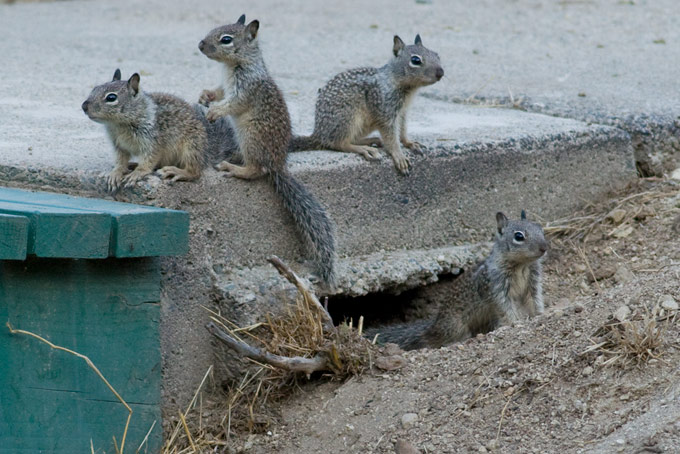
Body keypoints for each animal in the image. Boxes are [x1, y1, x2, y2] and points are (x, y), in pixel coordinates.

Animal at [82, 69, 238, 192]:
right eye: (94, 89)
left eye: (111, 97)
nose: (84, 106)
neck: (119, 125)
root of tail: (208, 150)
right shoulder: (119, 145)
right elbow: (120, 160)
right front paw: (116, 172)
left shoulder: (153, 140)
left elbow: (149, 160)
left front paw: (138, 173)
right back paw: (132, 165)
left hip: (192, 146)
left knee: (195, 171)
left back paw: (177, 171)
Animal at [199, 15, 338, 286]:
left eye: (226, 39)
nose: (200, 45)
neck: (234, 66)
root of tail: (278, 164)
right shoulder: (225, 85)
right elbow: (218, 91)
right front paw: (205, 95)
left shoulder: (246, 89)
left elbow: (233, 103)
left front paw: (215, 111)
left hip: (250, 137)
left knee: (257, 170)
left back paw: (234, 168)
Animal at [288, 33, 444, 175]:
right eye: (415, 60)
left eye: (437, 55)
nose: (441, 73)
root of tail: (319, 134)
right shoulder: (385, 110)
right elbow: (391, 136)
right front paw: (399, 155)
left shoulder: (403, 112)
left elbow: (403, 130)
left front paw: (409, 143)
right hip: (348, 117)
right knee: (338, 143)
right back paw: (364, 149)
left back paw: (371, 140)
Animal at [366, 211, 548, 350]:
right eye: (519, 236)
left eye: (541, 229)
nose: (544, 247)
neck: (522, 265)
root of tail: (434, 324)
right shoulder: (495, 286)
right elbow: (505, 308)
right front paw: (515, 323)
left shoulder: (533, 284)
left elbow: (535, 301)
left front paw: (539, 314)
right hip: (455, 327)